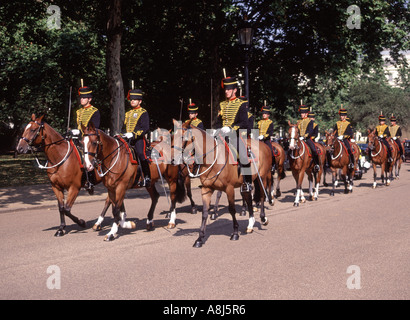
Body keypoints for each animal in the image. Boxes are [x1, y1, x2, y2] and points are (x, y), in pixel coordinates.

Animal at [173, 120, 272, 248]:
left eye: (182, 137)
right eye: (172, 137)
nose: (173, 160)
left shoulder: (229, 188)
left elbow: (232, 210)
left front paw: (235, 233)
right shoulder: (206, 189)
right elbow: (204, 213)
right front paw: (199, 238)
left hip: (262, 178)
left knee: (262, 196)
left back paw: (263, 219)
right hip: (246, 184)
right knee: (249, 199)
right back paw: (250, 224)